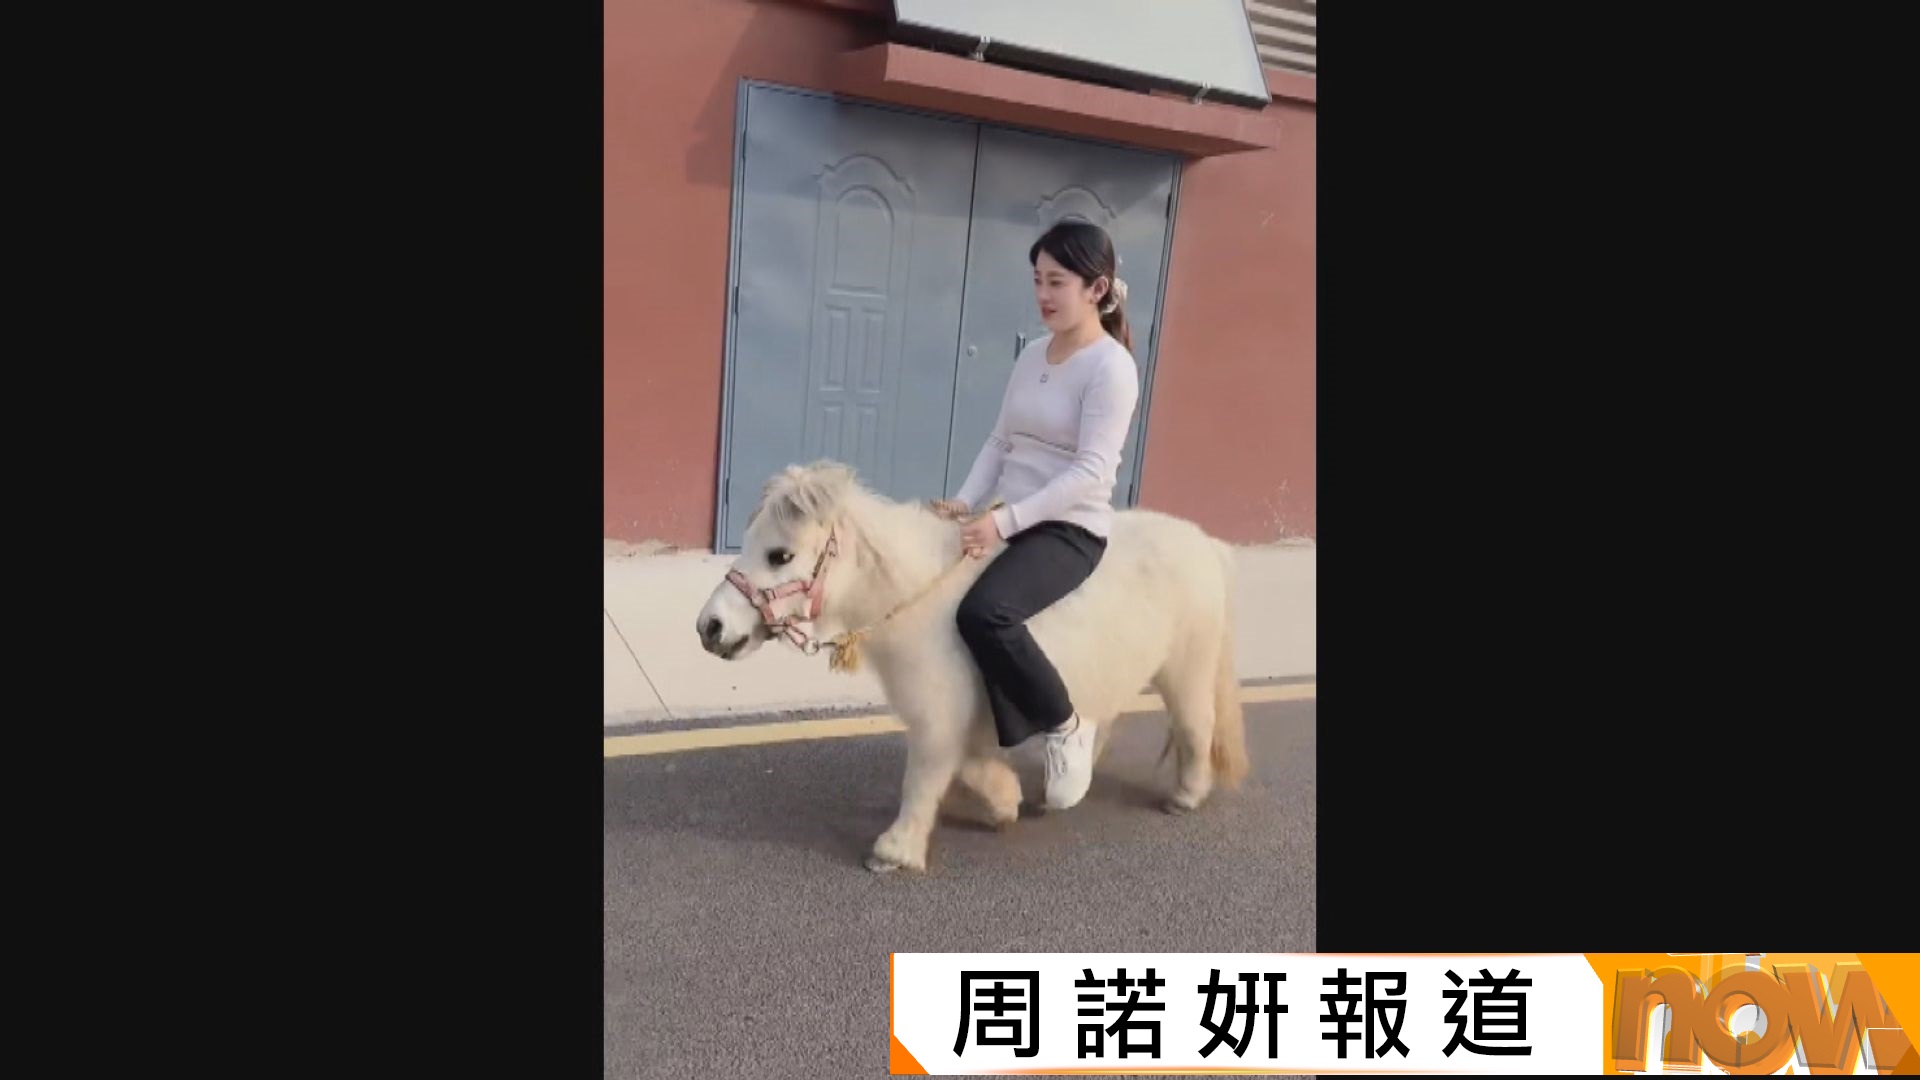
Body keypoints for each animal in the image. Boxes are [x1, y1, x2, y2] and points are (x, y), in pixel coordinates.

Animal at [694, 460, 1248, 874]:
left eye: (780, 554)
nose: (710, 627)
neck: (919, 600)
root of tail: (1206, 543)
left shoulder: (939, 715)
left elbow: (924, 776)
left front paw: (895, 851)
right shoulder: (952, 714)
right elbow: (967, 764)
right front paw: (1005, 803)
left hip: (1187, 670)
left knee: (1195, 726)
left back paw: (1185, 795)